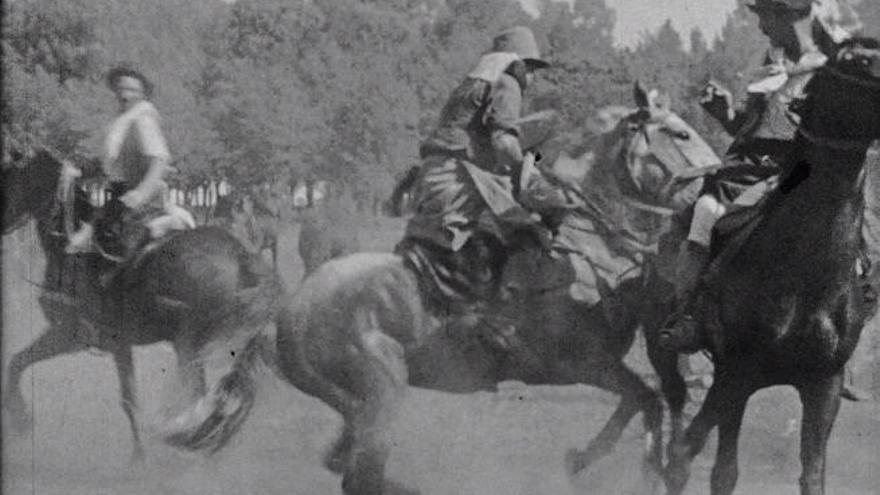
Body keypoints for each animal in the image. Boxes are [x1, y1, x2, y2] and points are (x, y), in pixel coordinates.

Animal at [0, 149, 282, 464]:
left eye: (7, 179)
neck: (73, 250)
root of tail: (241, 257)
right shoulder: (84, 340)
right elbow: (18, 361)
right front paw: (21, 418)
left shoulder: (80, 335)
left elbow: (128, 399)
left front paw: (139, 457)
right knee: (225, 391)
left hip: (189, 343)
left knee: (204, 393)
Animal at [162, 83, 720, 494]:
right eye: (678, 132)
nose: (716, 180)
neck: (577, 246)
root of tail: (282, 315)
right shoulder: (576, 364)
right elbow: (646, 398)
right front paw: (622, 466)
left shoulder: (604, 365)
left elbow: (643, 399)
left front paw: (586, 460)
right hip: (383, 389)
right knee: (359, 475)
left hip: (356, 404)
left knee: (345, 464)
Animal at [660, 39, 880, 495]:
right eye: (858, 59)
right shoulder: (737, 373)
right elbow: (714, 468)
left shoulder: (824, 385)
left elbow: (812, 475)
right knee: (685, 446)